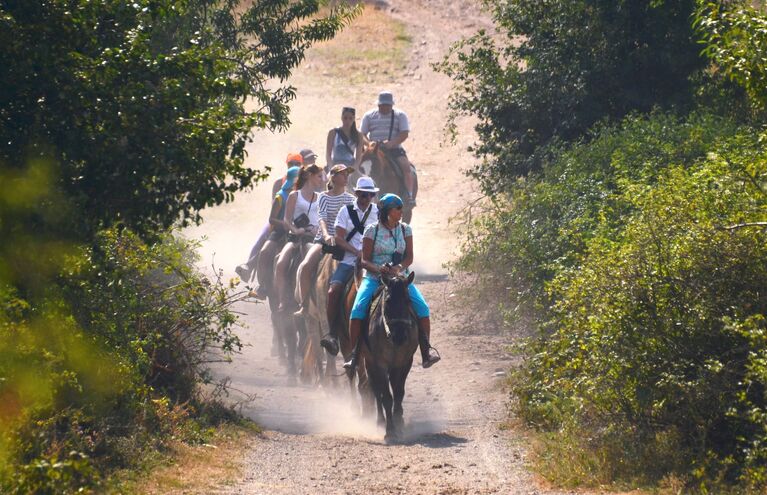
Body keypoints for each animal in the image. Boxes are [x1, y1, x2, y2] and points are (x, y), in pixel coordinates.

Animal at [362, 270, 416, 444]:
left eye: (408, 300)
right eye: (388, 300)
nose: (399, 336)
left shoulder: (405, 362)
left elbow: (399, 393)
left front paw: (399, 425)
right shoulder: (379, 365)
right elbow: (386, 396)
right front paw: (390, 431)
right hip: (369, 365)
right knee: (376, 391)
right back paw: (380, 422)